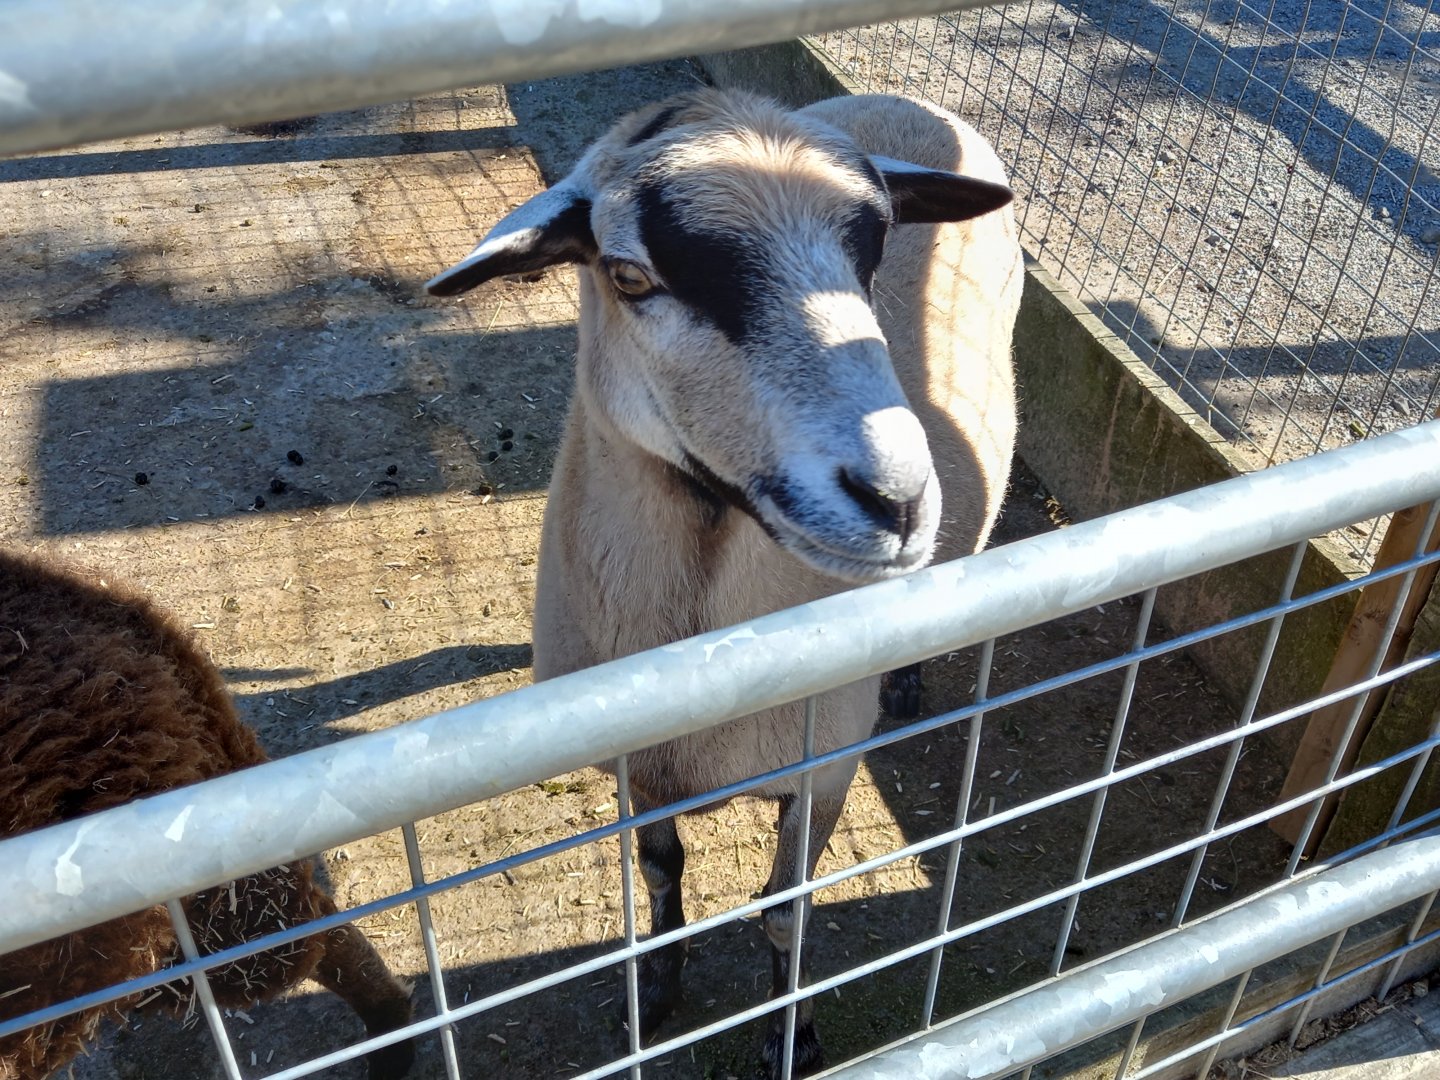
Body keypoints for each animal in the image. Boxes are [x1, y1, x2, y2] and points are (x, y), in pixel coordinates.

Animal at [427, 89, 1021, 1076]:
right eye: (630, 276)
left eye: (872, 253)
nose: (898, 500)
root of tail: (904, 99)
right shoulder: (637, 771)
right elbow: (659, 872)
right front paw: (657, 995)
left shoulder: (825, 768)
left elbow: (785, 912)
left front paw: (794, 1033)